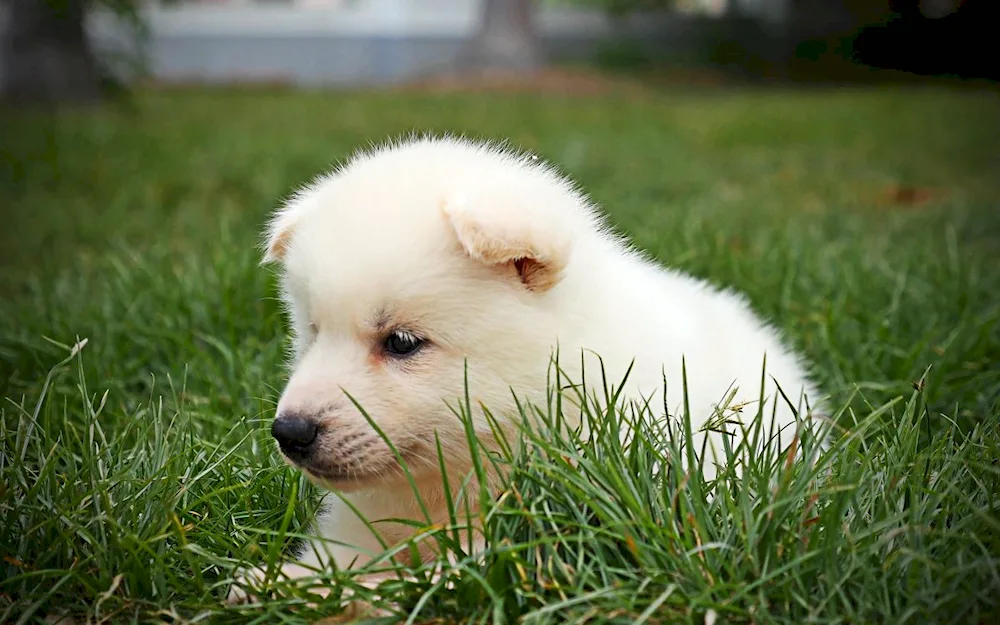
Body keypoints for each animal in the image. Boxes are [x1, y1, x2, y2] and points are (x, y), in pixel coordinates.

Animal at [230, 135, 824, 604]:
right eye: (312, 333)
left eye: (401, 342)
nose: (289, 432)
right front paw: (281, 583)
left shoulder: (568, 530)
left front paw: (365, 593)